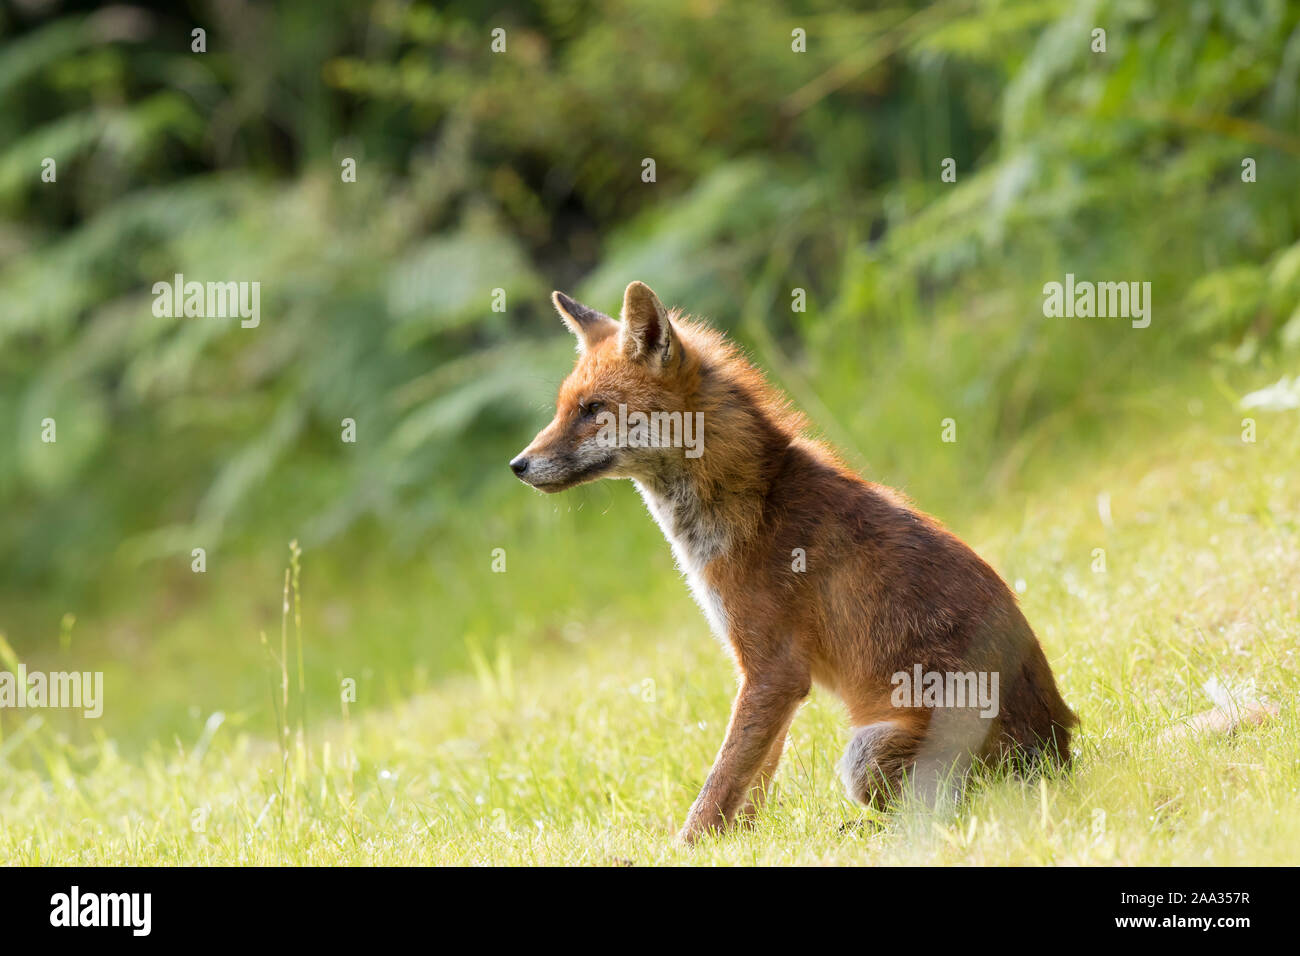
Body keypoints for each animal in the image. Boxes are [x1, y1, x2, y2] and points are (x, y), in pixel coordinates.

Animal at [509, 280, 1076, 842]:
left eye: (594, 409)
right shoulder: (772, 680)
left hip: (867, 752)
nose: (518, 465)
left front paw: (689, 847)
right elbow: (755, 776)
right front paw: (743, 841)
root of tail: (1060, 757)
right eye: (563, 408)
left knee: (948, 811)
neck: (750, 504)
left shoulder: (772, 669)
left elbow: (721, 780)